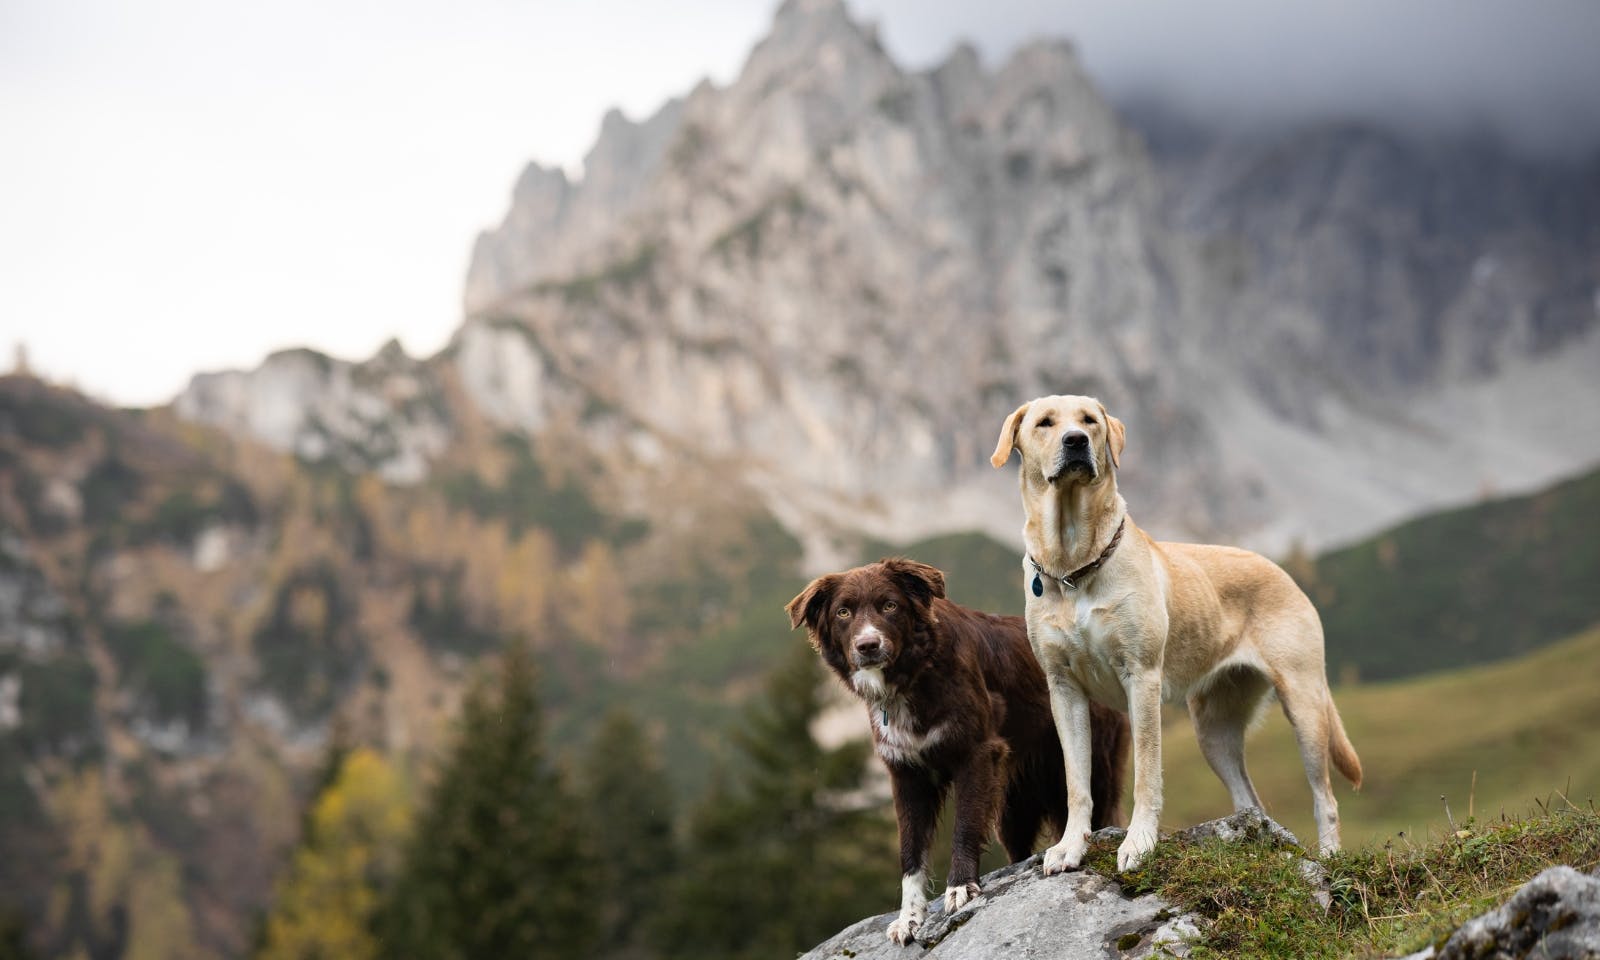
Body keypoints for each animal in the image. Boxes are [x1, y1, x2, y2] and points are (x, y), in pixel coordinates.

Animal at [787, 560, 1126, 940]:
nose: (868, 645)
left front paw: (961, 887)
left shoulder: (976, 754)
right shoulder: (907, 776)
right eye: (843, 612)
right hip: (1013, 807)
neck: (914, 675)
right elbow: (910, 850)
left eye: (889, 605)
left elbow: (964, 825)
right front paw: (910, 916)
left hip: (1090, 770)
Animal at [992, 393, 1356, 876]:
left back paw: (1331, 858)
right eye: (1045, 423)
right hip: (1213, 730)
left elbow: (1147, 773)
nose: (1076, 441)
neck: (1074, 565)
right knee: (1251, 799)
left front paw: (1139, 843)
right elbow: (1076, 783)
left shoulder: (1141, 678)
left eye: (1089, 420)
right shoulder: (1063, 690)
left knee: (1325, 798)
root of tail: (1284, 571)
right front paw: (1070, 847)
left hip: (1305, 705)